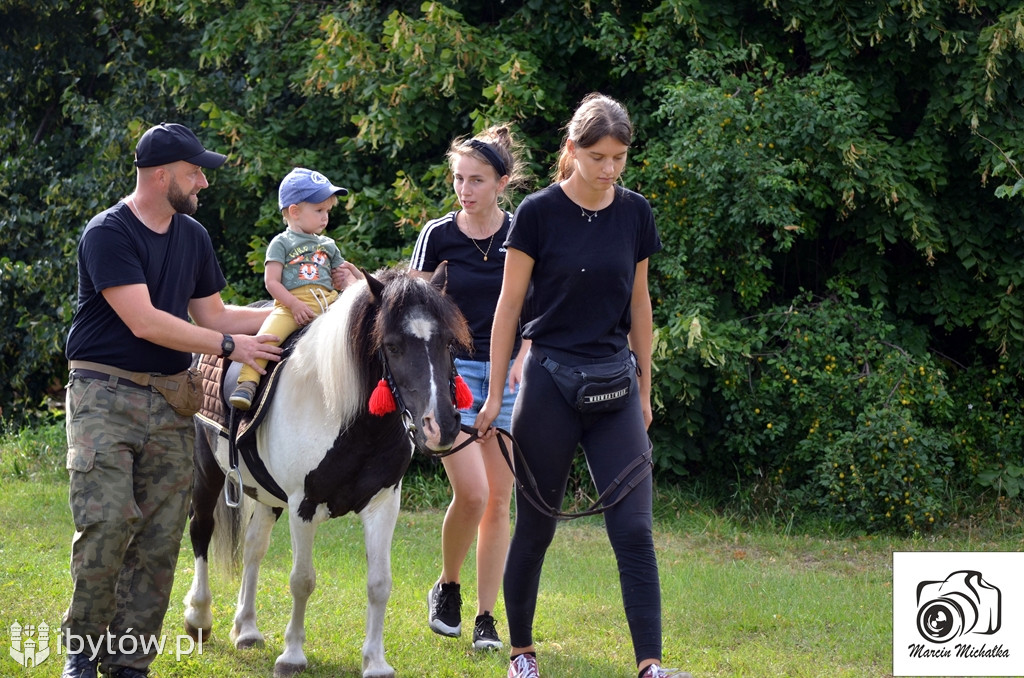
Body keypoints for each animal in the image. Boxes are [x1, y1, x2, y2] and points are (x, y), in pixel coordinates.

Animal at [184, 266, 471, 678]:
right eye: (392, 345)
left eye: (448, 342)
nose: (441, 427)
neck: (344, 416)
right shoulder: (303, 505)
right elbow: (302, 580)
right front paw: (292, 656)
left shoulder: (384, 504)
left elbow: (379, 583)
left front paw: (375, 661)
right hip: (207, 472)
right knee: (201, 531)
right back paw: (199, 617)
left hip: (267, 496)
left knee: (254, 547)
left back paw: (247, 628)